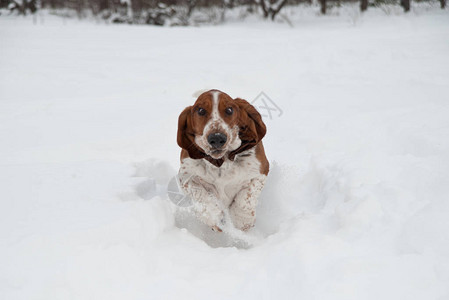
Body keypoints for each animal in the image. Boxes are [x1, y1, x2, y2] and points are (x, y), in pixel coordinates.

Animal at [175, 89, 268, 232]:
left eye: (229, 110)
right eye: (201, 110)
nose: (217, 138)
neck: (221, 162)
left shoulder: (260, 172)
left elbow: (246, 196)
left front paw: (242, 220)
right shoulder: (186, 177)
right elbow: (201, 195)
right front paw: (213, 216)